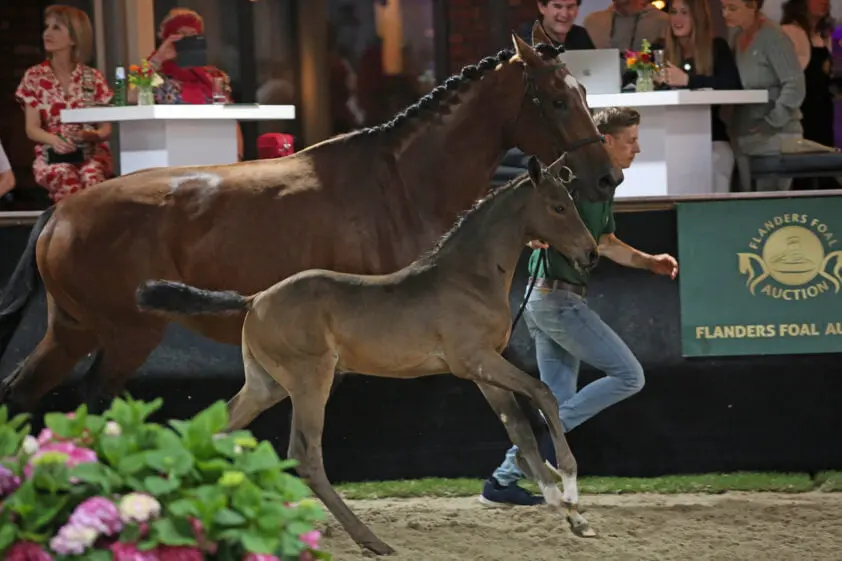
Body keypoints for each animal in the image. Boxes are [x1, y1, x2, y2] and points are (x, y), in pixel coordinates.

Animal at [0, 31, 620, 412]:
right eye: (558, 100)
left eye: (584, 91)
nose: (606, 176)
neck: (402, 184)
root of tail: (60, 212)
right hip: (127, 335)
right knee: (90, 402)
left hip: (72, 330)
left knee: (22, 395)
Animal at [135, 153, 599, 556]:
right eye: (559, 206)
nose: (591, 253)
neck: (470, 276)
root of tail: (254, 299)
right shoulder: (474, 360)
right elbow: (543, 394)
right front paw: (570, 485)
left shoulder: (484, 371)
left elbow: (519, 429)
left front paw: (570, 513)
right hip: (311, 381)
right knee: (305, 455)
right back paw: (371, 541)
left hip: (266, 385)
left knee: (217, 430)